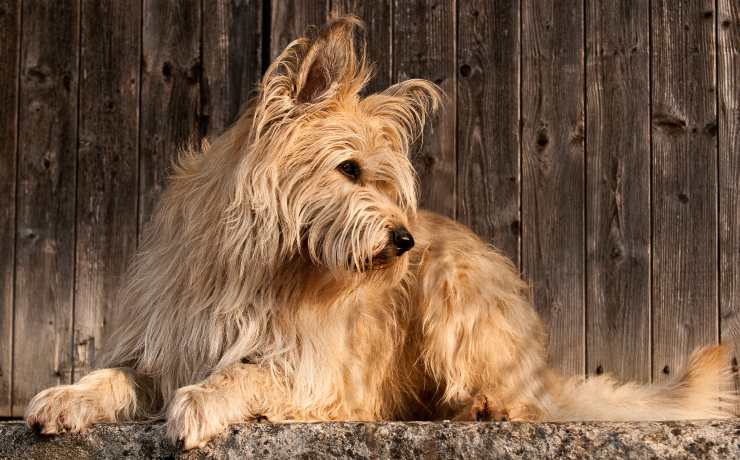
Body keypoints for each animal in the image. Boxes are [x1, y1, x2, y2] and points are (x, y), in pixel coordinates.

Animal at [23, 17, 736, 450]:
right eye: (348, 169)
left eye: (388, 182)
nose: (404, 242)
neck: (256, 264)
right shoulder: (161, 344)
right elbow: (114, 374)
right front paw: (67, 396)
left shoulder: (313, 373)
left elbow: (246, 373)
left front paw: (200, 400)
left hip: (453, 293)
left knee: (525, 405)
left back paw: (481, 409)